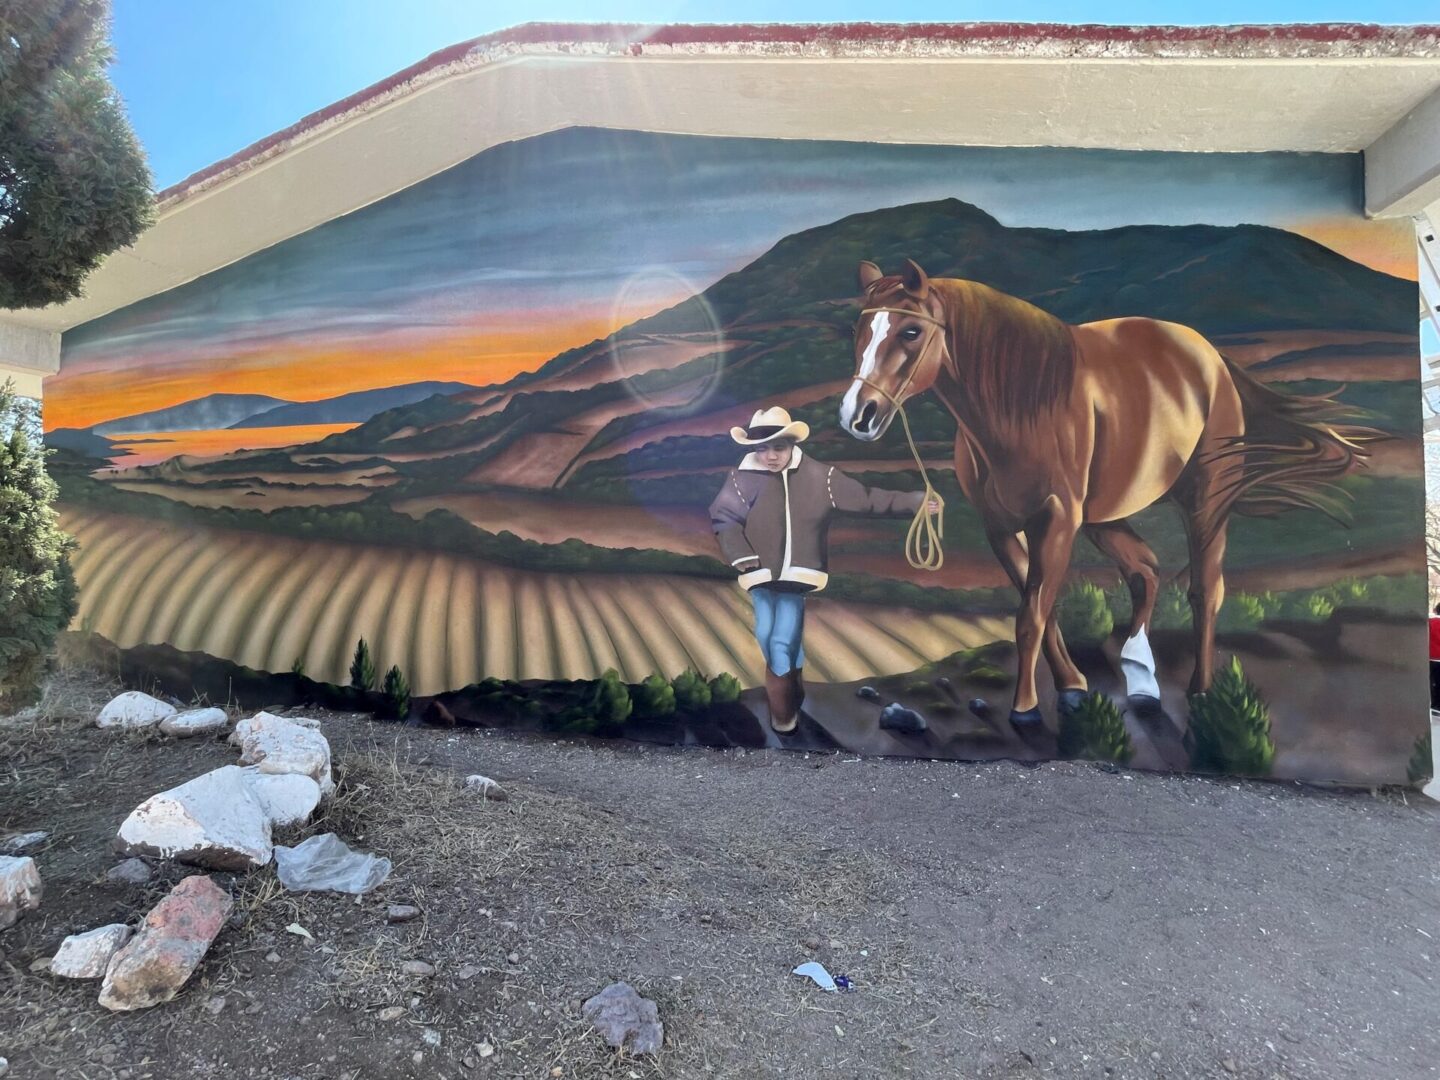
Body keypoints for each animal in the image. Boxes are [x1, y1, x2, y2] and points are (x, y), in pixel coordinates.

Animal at [840, 262, 1370, 731]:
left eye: (910, 331)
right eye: (861, 331)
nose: (857, 415)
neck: (1020, 406)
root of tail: (1211, 358)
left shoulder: (1057, 520)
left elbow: (1031, 614)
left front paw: (1026, 708)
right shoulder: (1002, 525)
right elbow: (1043, 608)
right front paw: (1072, 687)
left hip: (1205, 500)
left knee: (1205, 590)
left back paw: (1200, 691)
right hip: (1104, 518)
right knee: (1145, 572)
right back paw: (1141, 678)